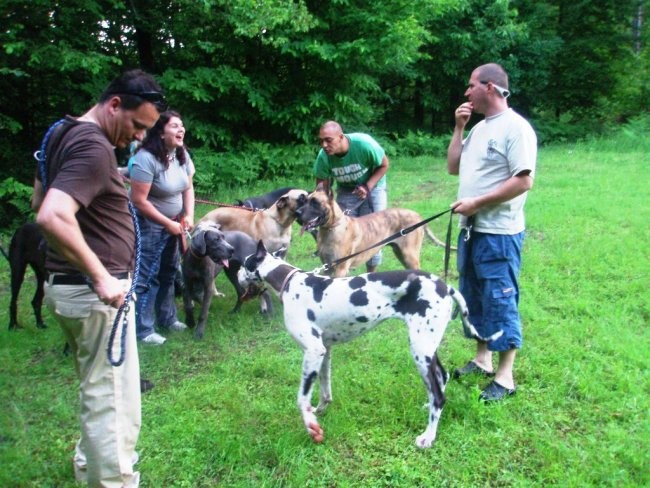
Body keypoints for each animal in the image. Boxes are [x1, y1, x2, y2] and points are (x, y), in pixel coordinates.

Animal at [238, 242, 502, 448]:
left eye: (243, 263)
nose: (237, 273)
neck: (289, 282)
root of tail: (446, 286)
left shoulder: (313, 351)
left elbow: (301, 399)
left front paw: (312, 426)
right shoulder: (324, 351)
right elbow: (325, 389)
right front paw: (320, 410)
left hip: (420, 350)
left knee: (440, 397)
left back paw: (428, 436)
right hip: (427, 348)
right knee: (441, 377)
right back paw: (428, 407)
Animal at [296, 187, 442, 276]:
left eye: (315, 202)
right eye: (304, 200)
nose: (297, 213)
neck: (332, 228)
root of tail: (418, 216)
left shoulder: (340, 269)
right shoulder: (327, 267)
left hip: (409, 255)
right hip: (402, 254)